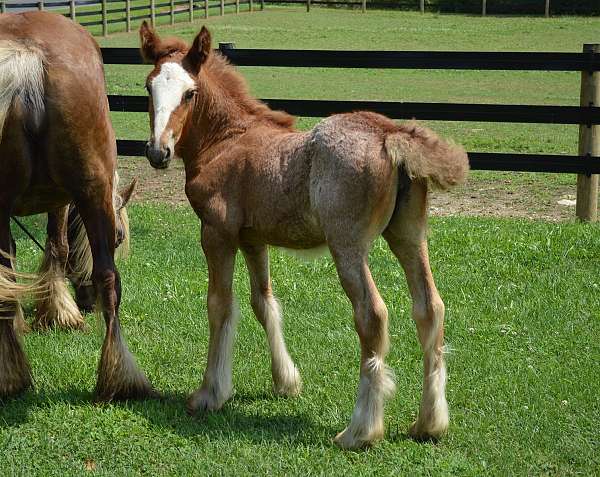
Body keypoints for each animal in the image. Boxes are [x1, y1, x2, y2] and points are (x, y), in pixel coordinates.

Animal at [0, 10, 152, 398]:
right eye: (119, 237)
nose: (85, 301)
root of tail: (29, 59)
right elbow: (60, 247)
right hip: (92, 189)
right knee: (109, 279)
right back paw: (122, 378)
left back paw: (10, 375)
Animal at [139, 23, 468, 446]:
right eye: (148, 87)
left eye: (189, 93)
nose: (157, 152)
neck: (226, 140)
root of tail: (390, 133)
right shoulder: (253, 238)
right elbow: (264, 302)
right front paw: (286, 382)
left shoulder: (216, 232)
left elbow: (220, 306)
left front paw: (210, 392)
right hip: (408, 236)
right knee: (430, 308)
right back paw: (429, 423)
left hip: (347, 246)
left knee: (372, 316)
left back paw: (360, 430)